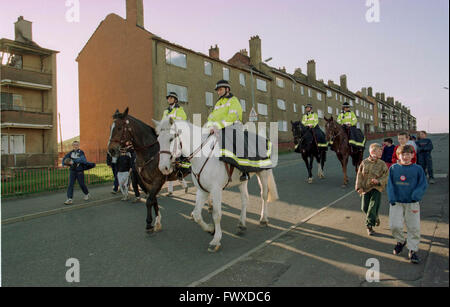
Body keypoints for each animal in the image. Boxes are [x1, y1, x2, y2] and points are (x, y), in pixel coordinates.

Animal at [154, 118, 278, 253]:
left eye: (171, 139)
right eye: (158, 139)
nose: (163, 168)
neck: (202, 156)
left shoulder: (216, 190)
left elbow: (217, 215)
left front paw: (216, 240)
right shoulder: (202, 190)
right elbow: (197, 215)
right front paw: (210, 229)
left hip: (263, 174)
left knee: (264, 195)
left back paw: (263, 219)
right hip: (242, 181)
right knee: (245, 199)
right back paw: (241, 224)